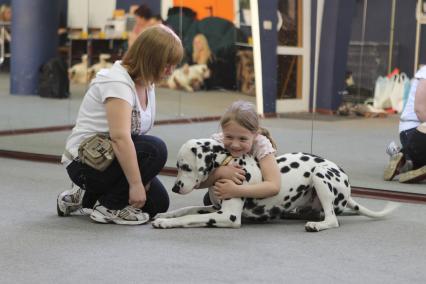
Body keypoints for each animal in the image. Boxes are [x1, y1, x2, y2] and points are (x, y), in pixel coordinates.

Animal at [153, 139, 400, 232]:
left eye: (185, 166)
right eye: (177, 166)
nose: (175, 188)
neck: (230, 163)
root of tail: (348, 192)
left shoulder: (228, 216)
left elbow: (189, 218)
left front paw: (166, 223)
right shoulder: (215, 208)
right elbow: (188, 210)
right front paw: (166, 214)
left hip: (320, 175)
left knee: (332, 219)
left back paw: (316, 225)